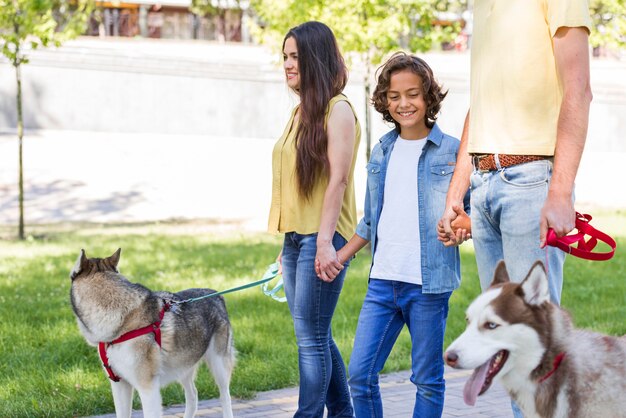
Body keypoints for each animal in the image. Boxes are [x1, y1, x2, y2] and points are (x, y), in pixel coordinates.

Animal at [69, 250, 234, 416]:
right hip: (183, 364)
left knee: (225, 396)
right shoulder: (119, 384)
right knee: (193, 395)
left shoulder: (148, 389)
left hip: (218, 365)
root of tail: (215, 294)